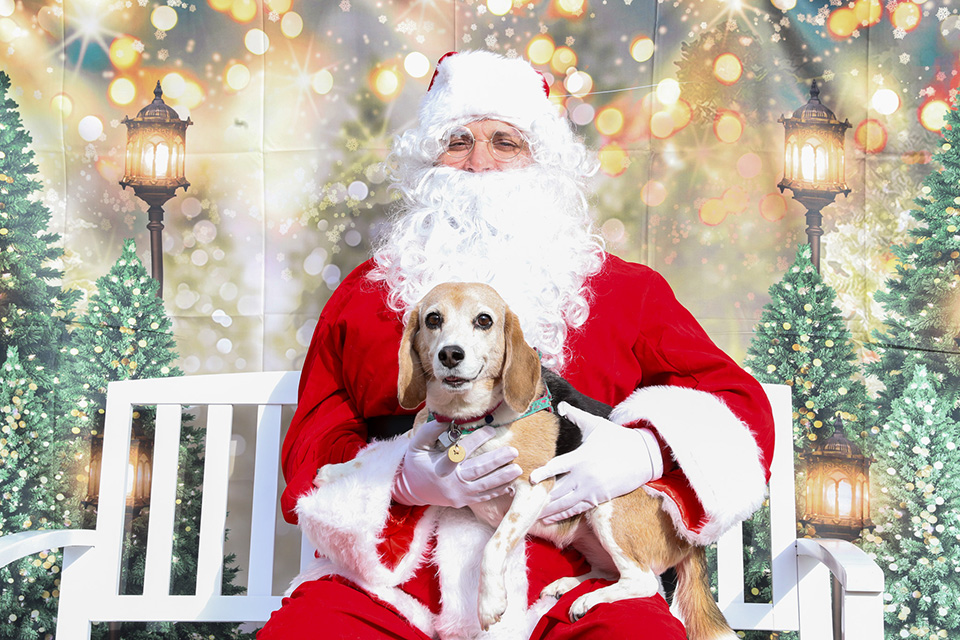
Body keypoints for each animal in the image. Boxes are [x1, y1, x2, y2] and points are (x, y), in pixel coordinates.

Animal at [398, 282, 736, 640]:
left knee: (644, 581)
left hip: (607, 504)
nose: (450, 354)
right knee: (610, 571)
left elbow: (492, 547)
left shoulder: (532, 487)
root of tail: (693, 541)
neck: (467, 421)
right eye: (433, 319)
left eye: (484, 320)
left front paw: (489, 603)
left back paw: (589, 600)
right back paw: (570, 585)